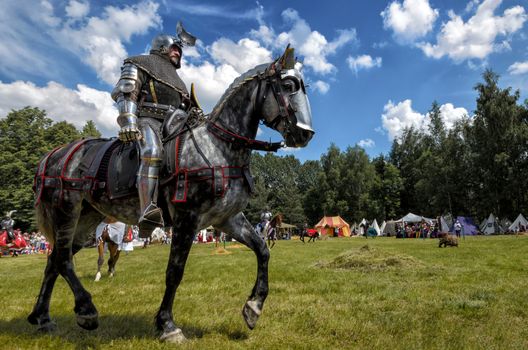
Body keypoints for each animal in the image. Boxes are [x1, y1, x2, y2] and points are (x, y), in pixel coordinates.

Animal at [27, 45, 314, 342]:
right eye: (289, 85)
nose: (305, 134)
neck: (218, 146)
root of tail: (52, 156)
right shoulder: (187, 219)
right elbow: (175, 271)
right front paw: (167, 325)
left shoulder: (227, 219)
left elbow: (263, 251)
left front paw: (253, 308)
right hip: (65, 211)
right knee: (62, 260)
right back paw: (86, 310)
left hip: (87, 219)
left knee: (54, 260)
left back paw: (43, 316)